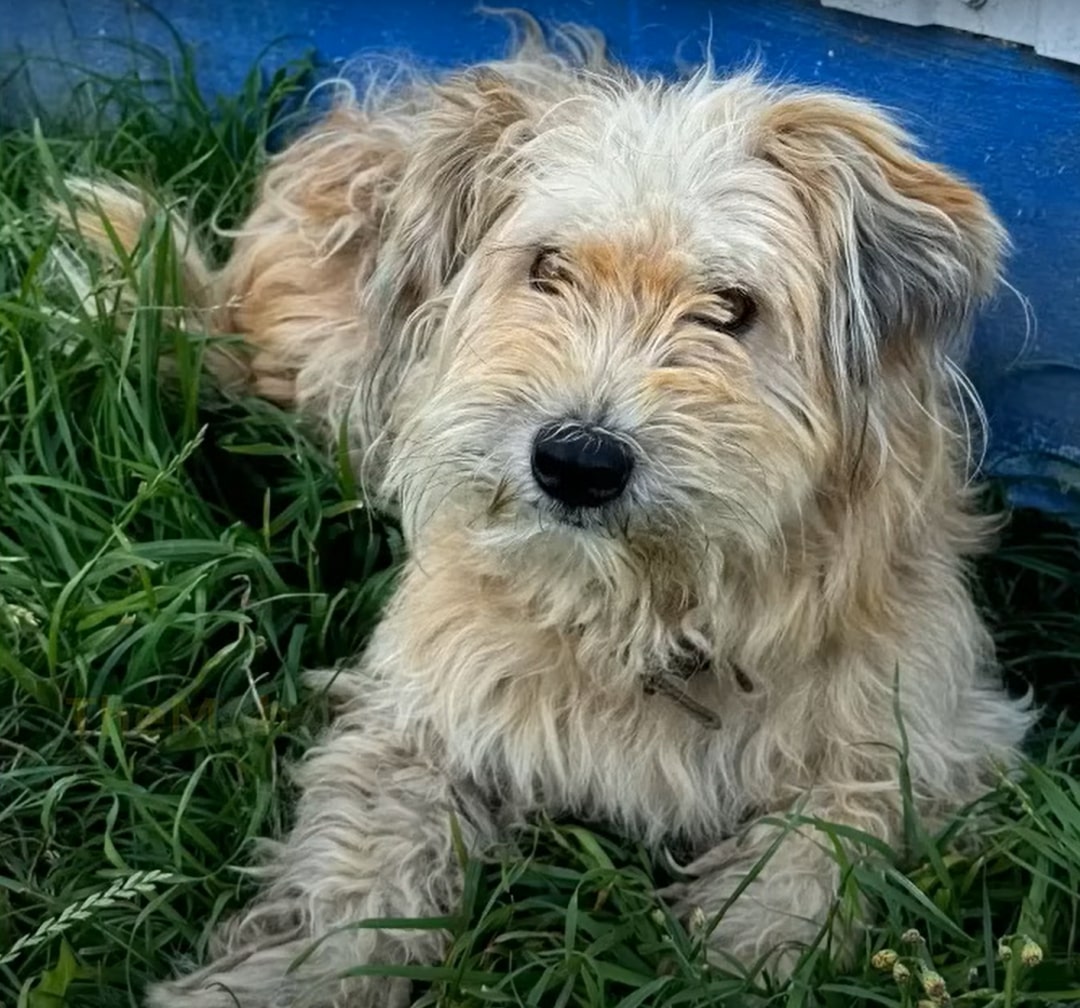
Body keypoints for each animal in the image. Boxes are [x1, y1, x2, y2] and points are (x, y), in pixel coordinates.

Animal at [63, 17, 1032, 1006]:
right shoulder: (422, 711)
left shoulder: (931, 732)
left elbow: (829, 842)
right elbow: (359, 878)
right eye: (548, 268)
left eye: (731, 307)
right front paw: (288, 979)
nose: (576, 461)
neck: (646, 612)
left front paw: (739, 956)